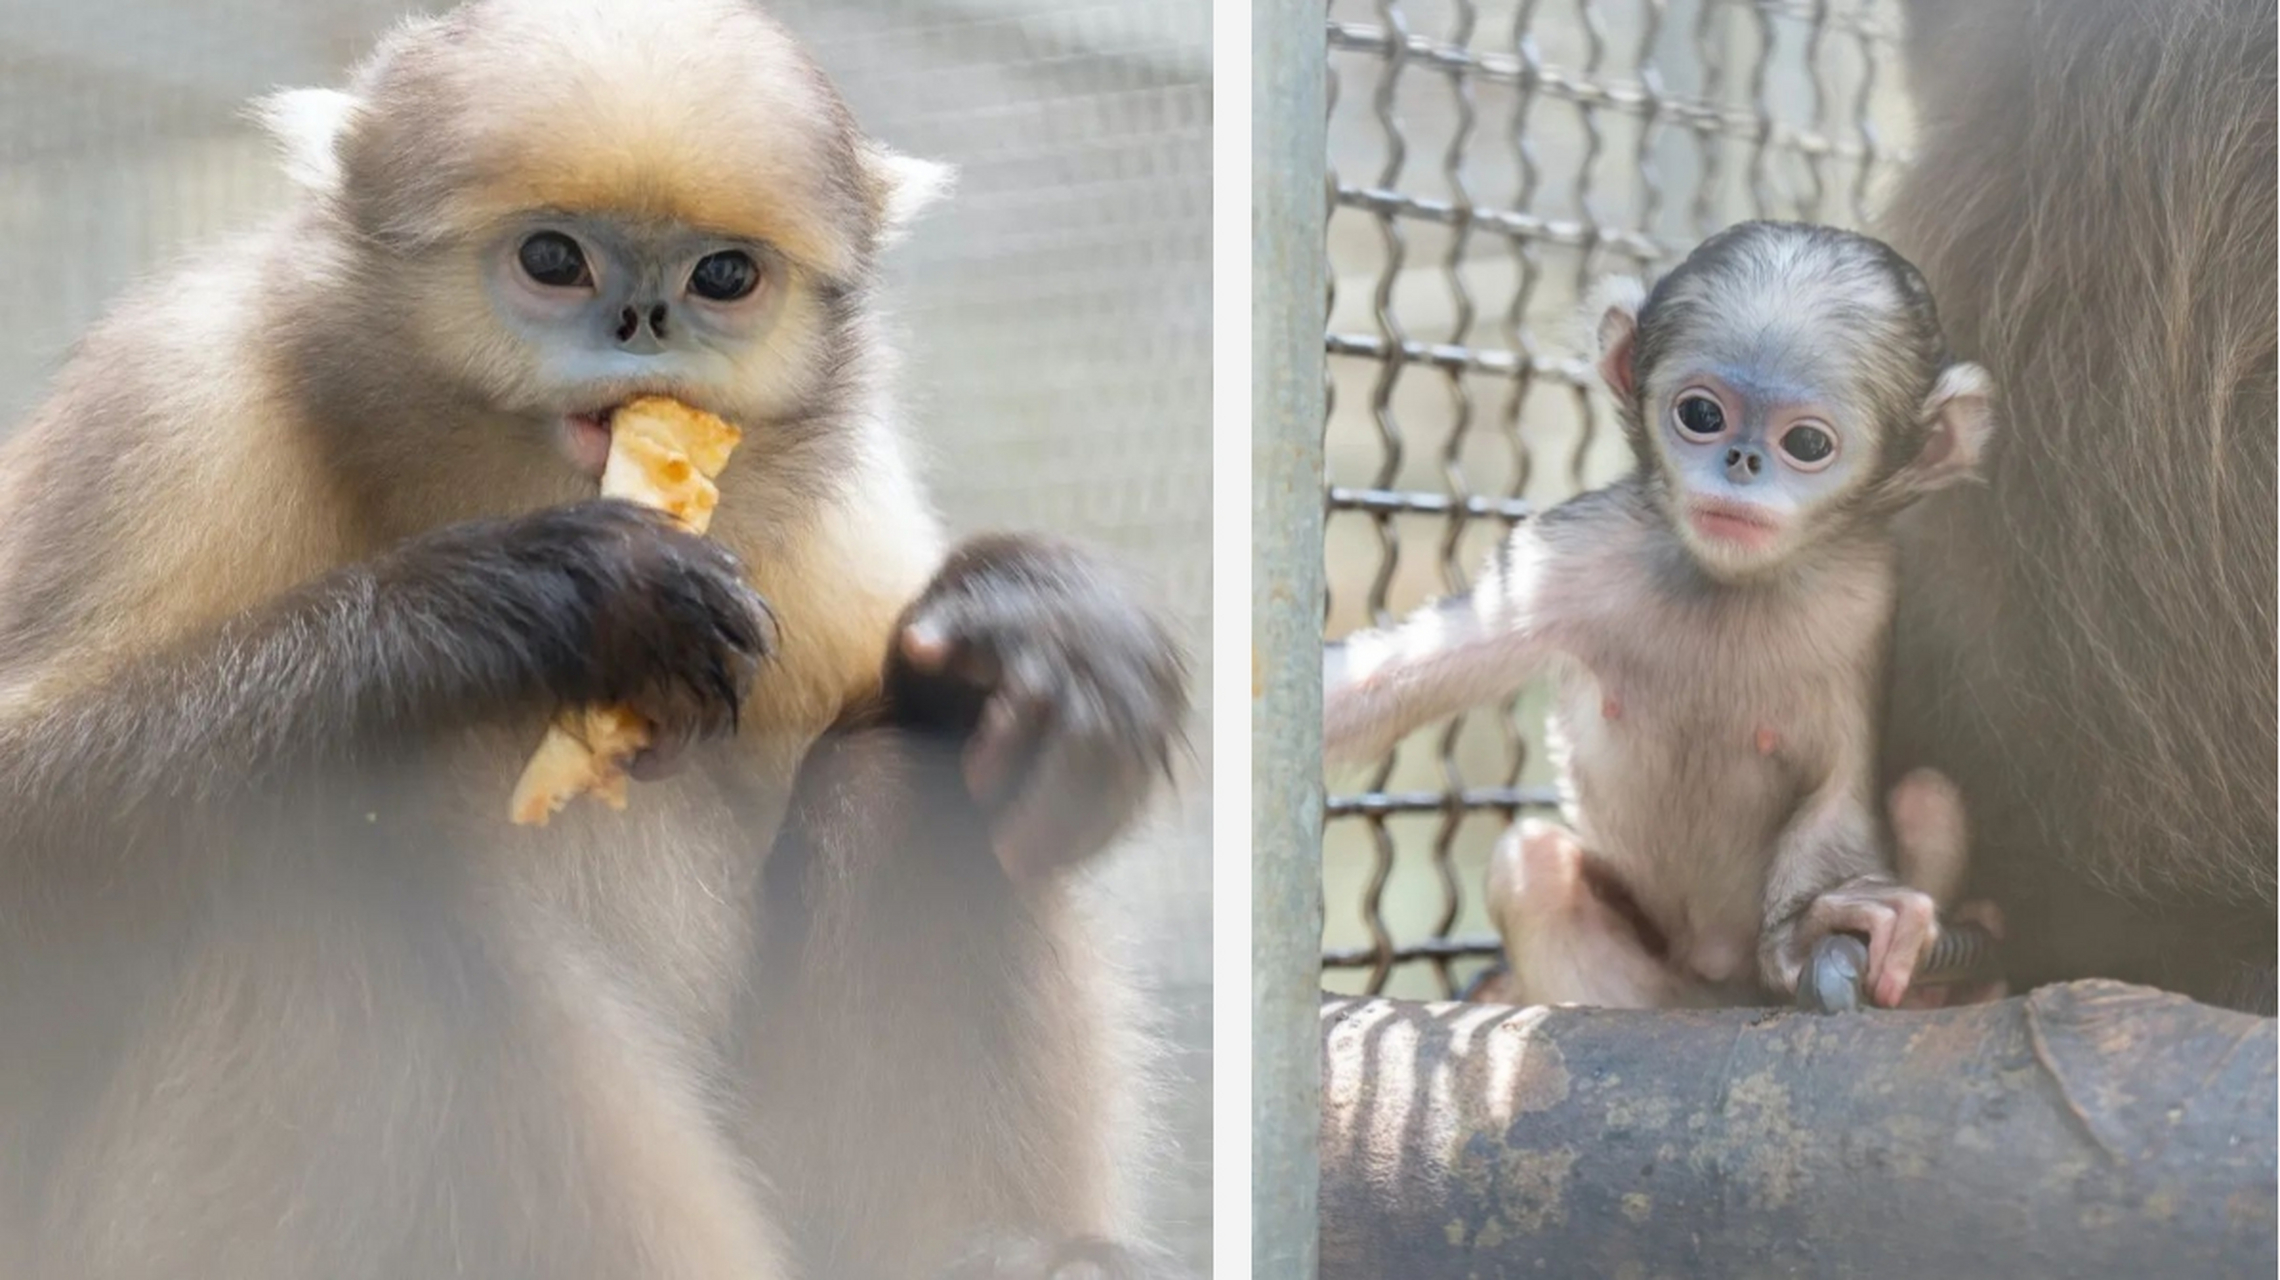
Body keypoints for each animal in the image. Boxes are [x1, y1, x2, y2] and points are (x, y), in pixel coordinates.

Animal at [0, 2, 1185, 1277]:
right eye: (553, 260)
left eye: (724, 274)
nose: (644, 322)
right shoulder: (177, 401)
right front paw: (551, 598)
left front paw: (1053, 631)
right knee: (341, 873)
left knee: (909, 771)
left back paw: (1003, 1246)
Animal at [1331, 224, 1997, 1013]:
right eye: (1701, 415)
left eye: (1806, 444)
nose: (1740, 460)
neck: (1729, 586)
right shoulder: (1569, 553)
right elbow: (1378, 685)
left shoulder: (1869, 600)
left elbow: (1843, 785)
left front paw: (1809, 930)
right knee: (1534, 867)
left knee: (1930, 798)